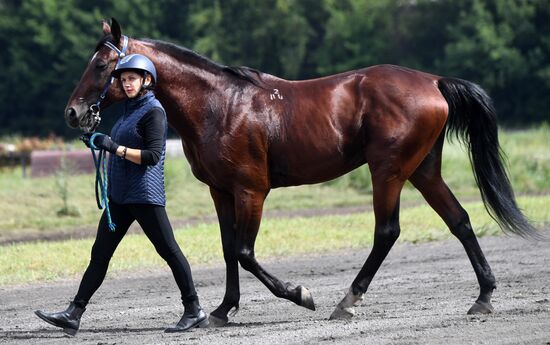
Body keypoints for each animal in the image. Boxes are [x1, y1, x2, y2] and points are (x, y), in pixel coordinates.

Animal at [63, 18, 540, 324]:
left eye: (102, 65)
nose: (74, 113)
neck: (221, 105)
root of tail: (433, 81)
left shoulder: (252, 190)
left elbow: (244, 251)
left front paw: (299, 295)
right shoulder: (221, 191)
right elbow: (228, 249)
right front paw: (221, 310)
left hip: (388, 170)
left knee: (387, 231)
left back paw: (346, 302)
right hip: (423, 170)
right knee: (460, 221)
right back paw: (483, 297)